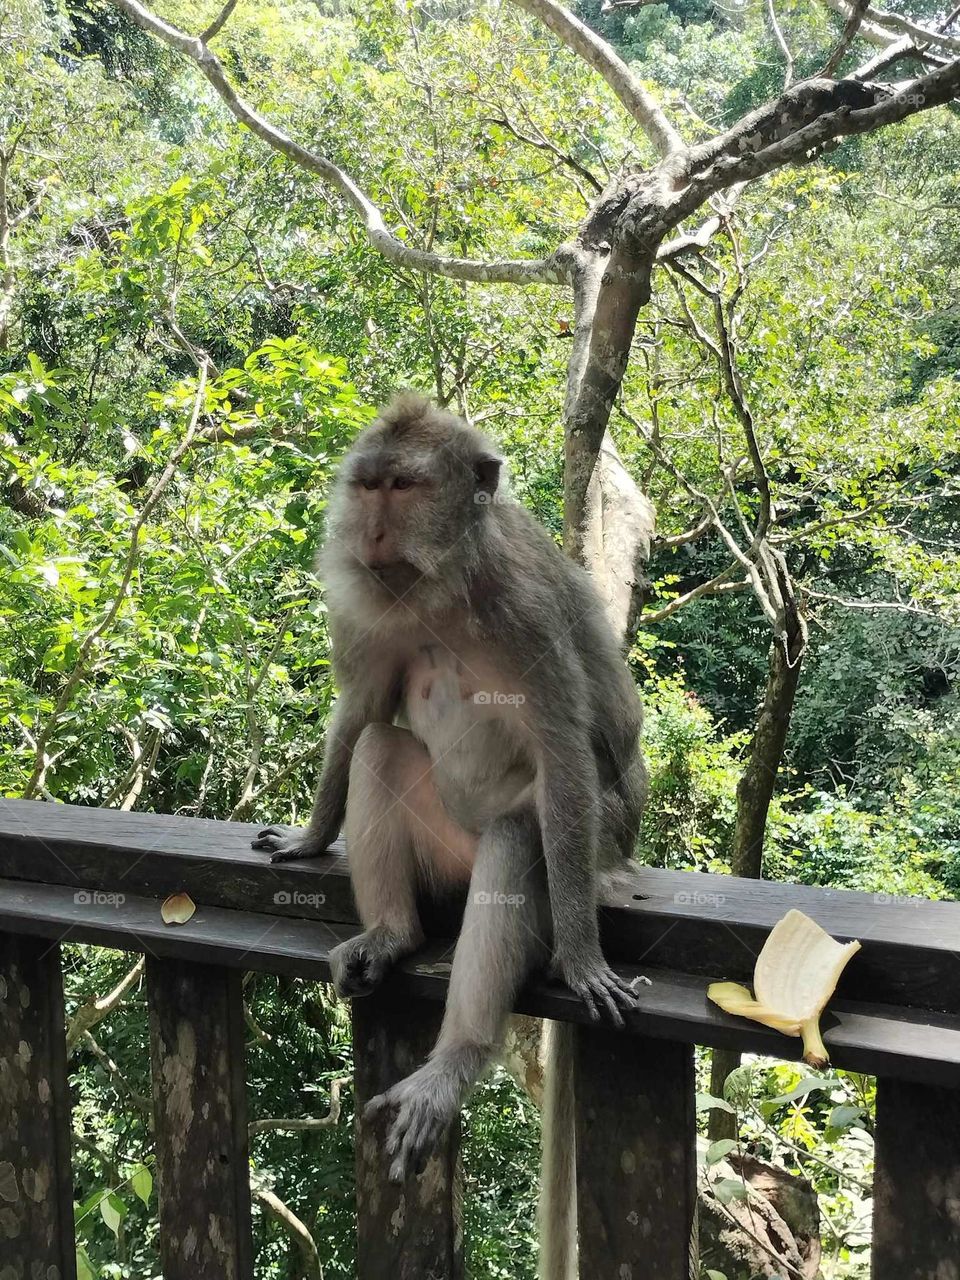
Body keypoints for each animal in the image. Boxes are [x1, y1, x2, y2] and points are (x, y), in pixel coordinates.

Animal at [252, 392, 647, 1190]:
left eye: (404, 487)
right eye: (368, 485)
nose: (371, 532)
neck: (441, 590)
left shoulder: (529, 613)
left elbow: (563, 754)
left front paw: (583, 960)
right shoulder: (368, 612)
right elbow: (364, 711)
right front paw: (310, 836)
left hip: (584, 855)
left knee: (519, 835)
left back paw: (455, 1059)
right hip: (440, 853)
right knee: (381, 747)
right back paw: (392, 933)